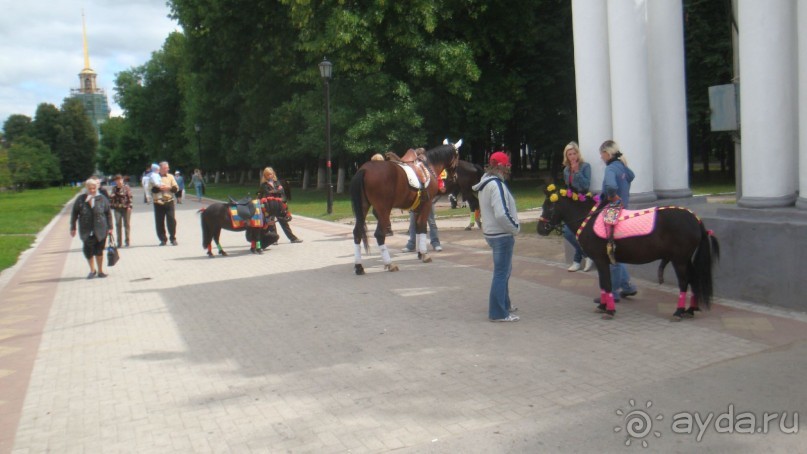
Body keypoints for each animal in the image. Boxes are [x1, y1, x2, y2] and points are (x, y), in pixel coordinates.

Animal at [352, 139, 460, 274]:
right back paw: (389, 264)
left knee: (357, 232)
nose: (455, 177)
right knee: (379, 234)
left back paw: (359, 266)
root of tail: (365, 169)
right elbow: (422, 226)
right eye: (457, 156)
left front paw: (420, 252)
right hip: (383, 210)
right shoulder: (427, 204)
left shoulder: (418, 207)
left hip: (363, 207)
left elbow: (417, 227)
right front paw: (424, 254)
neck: (429, 166)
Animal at [536, 184, 720, 320]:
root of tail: (695, 219)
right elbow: (603, 284)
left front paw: (609, 310)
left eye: (550, 206)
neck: (590, 219)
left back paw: (679, 311)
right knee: (693, 280)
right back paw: (690, 309)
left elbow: (607, 283)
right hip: (686, 259)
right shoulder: (602, 261)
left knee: (684, 282)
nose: (540, 229)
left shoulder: (601, 260)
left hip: (679, 260)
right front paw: (603, 305)